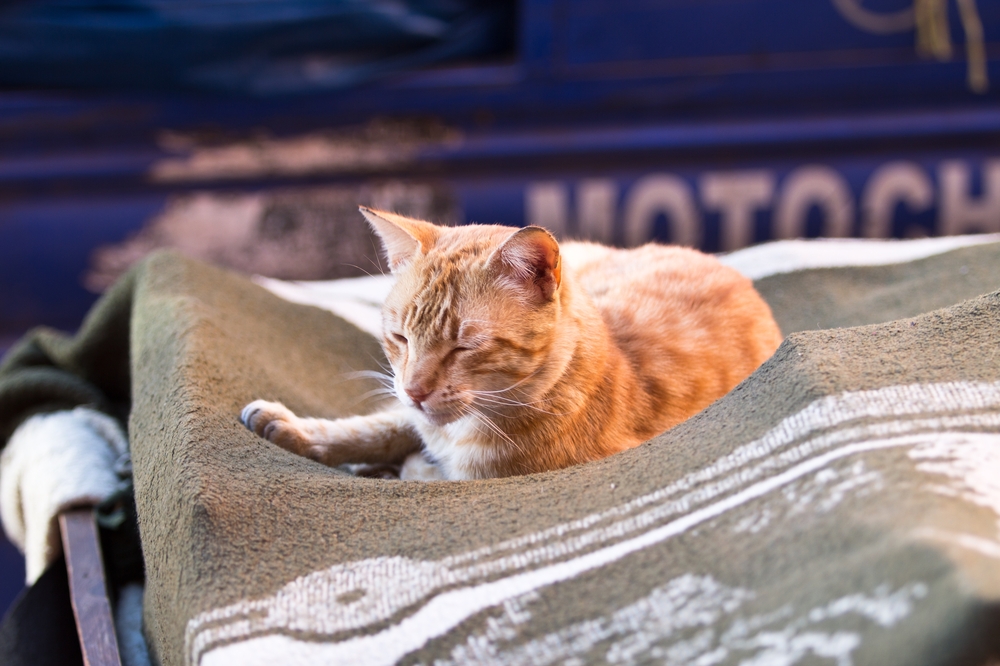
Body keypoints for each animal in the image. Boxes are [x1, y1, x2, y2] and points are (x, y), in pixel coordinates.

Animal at [242, 206, 780, 478]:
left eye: (464, 346)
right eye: (399, 337)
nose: (414, 389)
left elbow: (419, 463)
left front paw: (406, 465)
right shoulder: (409, 415)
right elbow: (380, 426)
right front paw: (299, 429)